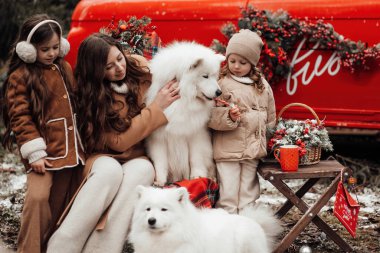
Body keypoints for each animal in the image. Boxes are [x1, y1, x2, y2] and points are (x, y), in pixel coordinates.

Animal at [145, 41, 223, 186]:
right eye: (205, 76)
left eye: (215, 76)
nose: (219, 92)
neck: (182, 98)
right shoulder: (159, 138)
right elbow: (161, 161)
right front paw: (159, 181)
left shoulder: (195, 134)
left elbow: (195, 158)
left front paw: (197, 176)